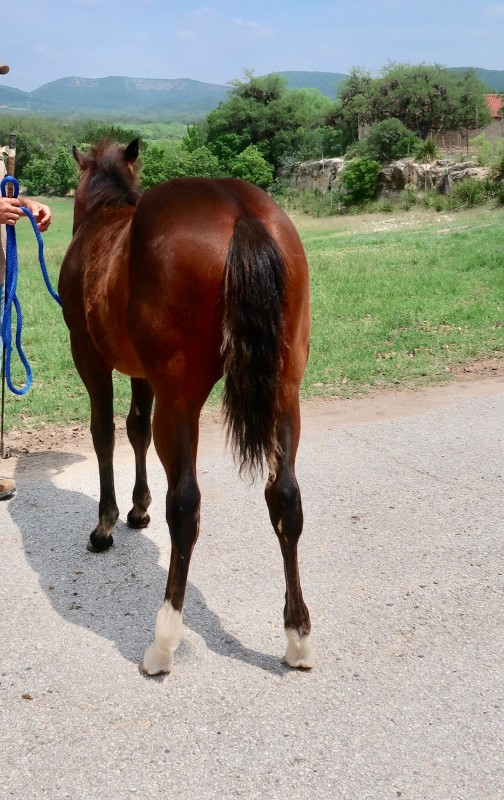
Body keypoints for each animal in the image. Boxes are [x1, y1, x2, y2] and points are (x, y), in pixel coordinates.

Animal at [57, 139, 314, 676]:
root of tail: (241, 212)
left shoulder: (89, 355)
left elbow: (104, 432)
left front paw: (107, 524)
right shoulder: (140, 371)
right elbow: (133, 427)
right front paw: (137, 509)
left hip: (178, 404)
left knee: (186, 506)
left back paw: (163, 642)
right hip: (285, 394)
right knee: (285, 497)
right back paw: (298, 636)